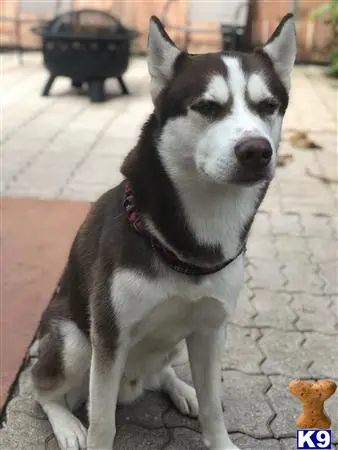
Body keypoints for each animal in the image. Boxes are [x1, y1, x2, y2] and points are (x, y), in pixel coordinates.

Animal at [31, 14, 296, 450]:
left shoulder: (210, 329)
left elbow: (213, 405)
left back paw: (179, 388)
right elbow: (102, 421)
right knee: (45, 390)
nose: (256, 151)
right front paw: (89, 431)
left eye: (268, 106)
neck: (191, 243)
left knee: (163, 371)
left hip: (170, 347)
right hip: (74, 342)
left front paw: (217, 435)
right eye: (206, 107)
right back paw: (68, 426)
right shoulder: (110, 336)